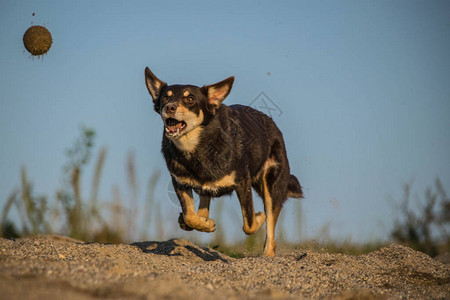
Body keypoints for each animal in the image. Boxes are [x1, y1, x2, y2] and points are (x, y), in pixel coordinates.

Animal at [146, 67, 304, 256]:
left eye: (190, 99)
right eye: (165, 97)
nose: (170, 107)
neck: (198, 148)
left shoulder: (243, 182)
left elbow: (249, 223)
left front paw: (259, 217)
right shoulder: (179, 182)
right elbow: (190, 216)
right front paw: (203, 224)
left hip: (272, 184)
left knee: (270, 229)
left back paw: (267, 253)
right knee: (201, 208)